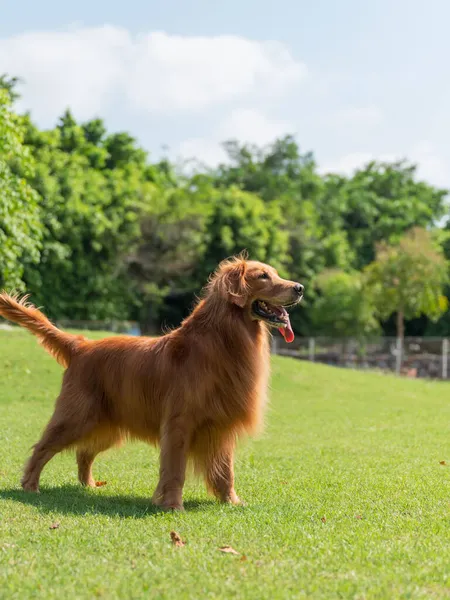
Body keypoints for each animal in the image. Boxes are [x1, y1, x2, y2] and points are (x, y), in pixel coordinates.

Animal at [0, 258, 302, 510]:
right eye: (263, 276)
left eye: (275, 273)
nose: (299, 288)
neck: (220, 342)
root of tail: (80, 345)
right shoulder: (179, 424)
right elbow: (175, 470)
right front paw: (172, 505)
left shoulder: (220, 425)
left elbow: (226, 471)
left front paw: (231, 501)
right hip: (76, 416)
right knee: (43, 447)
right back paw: (30, 485)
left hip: (108, 424)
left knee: (84, 452)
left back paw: (89, 485)